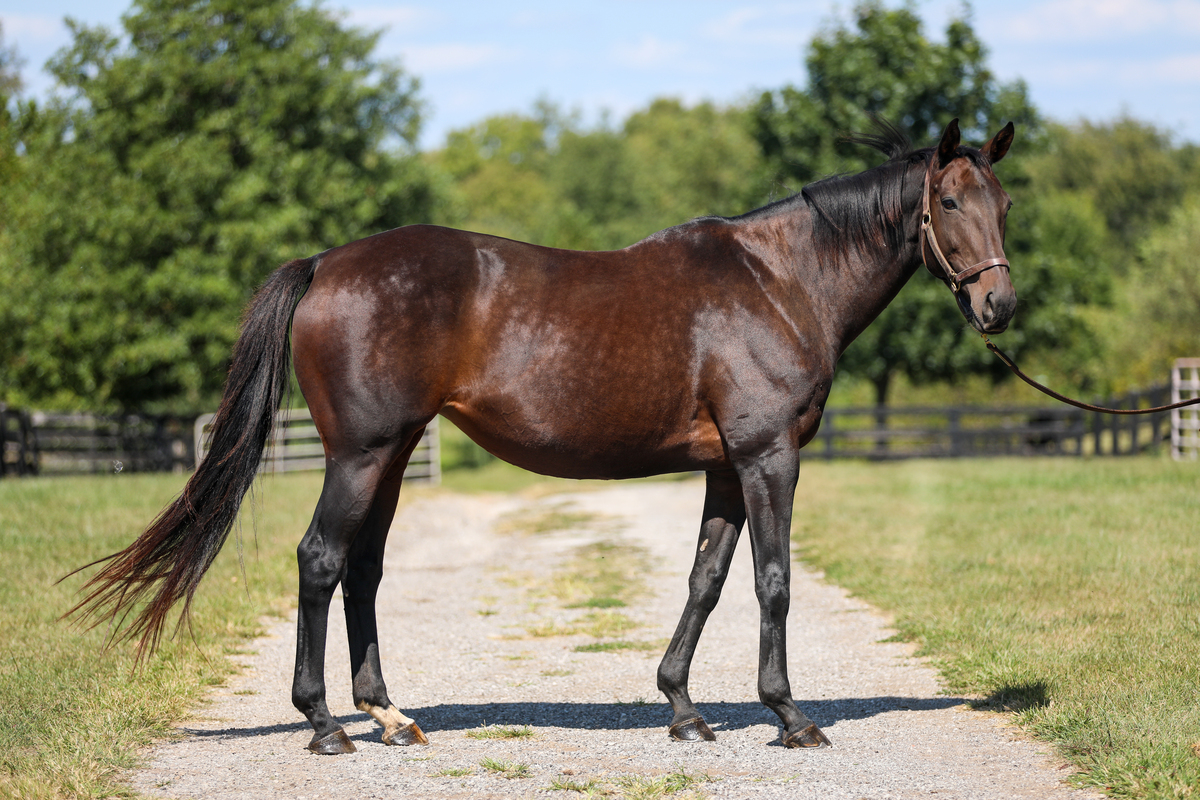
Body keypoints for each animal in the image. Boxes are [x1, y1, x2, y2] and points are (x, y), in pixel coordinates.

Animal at [71, 118, 1016, 753]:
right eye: (947, 199)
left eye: (1004, 201)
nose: (1000, 305)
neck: (777, 279)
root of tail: (327, 263)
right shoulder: (767, 457)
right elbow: (773, 582)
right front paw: (789, 716)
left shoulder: (724, 468)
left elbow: (706, 581)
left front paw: (683, 709)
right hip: (361, 455)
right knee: (321, 560)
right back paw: (325, 723)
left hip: (392, 456)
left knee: (363, 570)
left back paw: (389, 715)